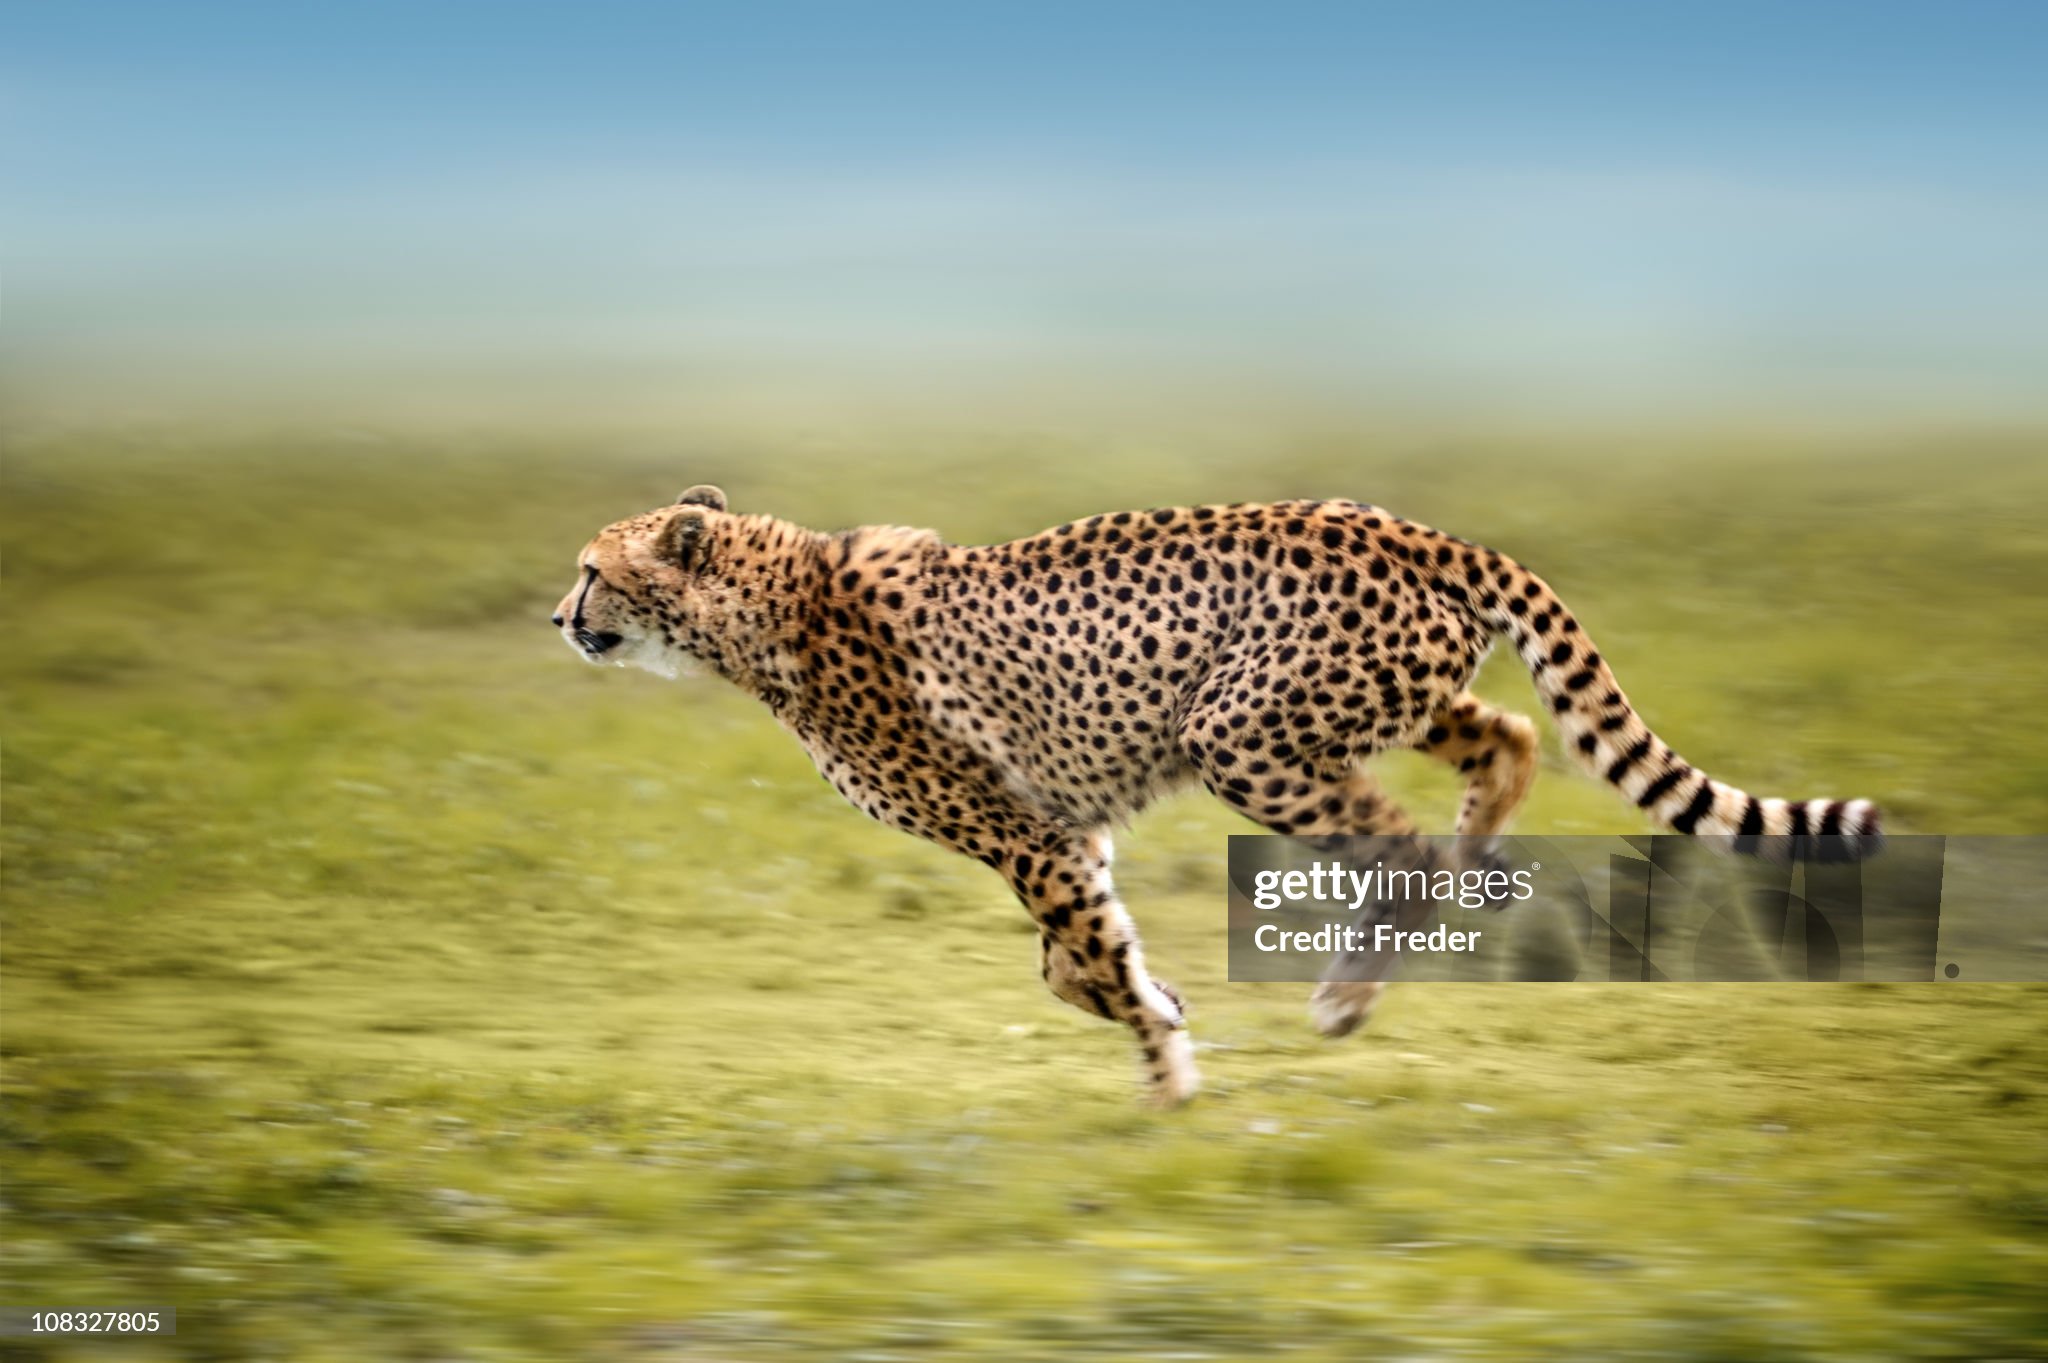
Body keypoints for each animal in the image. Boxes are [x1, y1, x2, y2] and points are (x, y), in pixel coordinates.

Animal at [553, 484, 1882, 1106]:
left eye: (590, 571)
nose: (560, 616)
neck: (762, 603)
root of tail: (1402, 527)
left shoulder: (1025, 836)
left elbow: (1080, 955)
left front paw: (1167, 1081)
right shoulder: (1062, 831)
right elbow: (1072, 962)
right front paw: (1164, 1006)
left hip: (1242, 734)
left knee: (1403, 845)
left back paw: (1350, 991)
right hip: (1375, 701)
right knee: (1504, 738)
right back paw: (1474, 878)